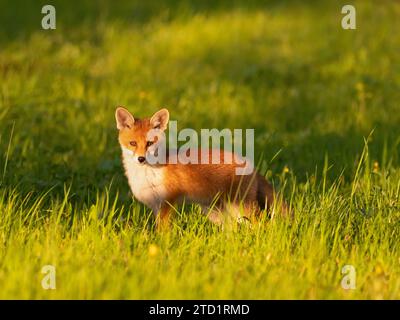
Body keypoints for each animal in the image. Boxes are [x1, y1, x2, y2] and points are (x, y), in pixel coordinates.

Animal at [114, 107, 290, 230]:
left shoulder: (167, 203)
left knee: (262, 224)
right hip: (217, 212)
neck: (149, 174)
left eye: (149, 143)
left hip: (240, 207)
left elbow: (163, 232)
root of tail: (251, 165)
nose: (141, 159)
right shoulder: (156, 206)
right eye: (133, 143)